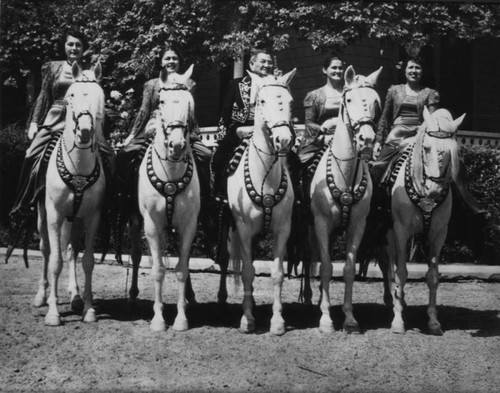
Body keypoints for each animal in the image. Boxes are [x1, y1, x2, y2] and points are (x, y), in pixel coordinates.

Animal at [36, 62, 107, 324]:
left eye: (100, 97)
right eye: (72, 95)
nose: (85, 131)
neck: (77, 166)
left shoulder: (93, 217)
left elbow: (87, 261)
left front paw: (88, 309)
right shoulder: (54, 215)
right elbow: (55, 261)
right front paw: (53, 313)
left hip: (74, 220)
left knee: (72, 251)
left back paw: (75, 297)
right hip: (42, 216)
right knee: (46, 249)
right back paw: (41, 296)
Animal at [228, 68, 296, 334]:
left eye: (289, 102)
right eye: (262, 101)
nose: (283, 140)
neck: (264, 176)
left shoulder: (282, 230)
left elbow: (277, 274)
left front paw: (277, 321)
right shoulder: (244, 230)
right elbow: (248, 272)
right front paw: (247, 319)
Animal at [308, 66, 382, 332]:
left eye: (376, 102)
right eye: (348, 100)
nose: (366, 139)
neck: (345, 173)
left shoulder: (357, 225)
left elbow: (348, 269)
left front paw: (349, 318)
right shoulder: (320, 223)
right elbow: (326, 267)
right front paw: (325, 319)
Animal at [382, 108, 464, 334]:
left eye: (452, 151)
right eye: (426, 147)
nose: (434, 190)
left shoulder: (438, 234)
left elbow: (433, 276)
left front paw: (433, 321)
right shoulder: (400, 230)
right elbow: (401, 272)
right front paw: (398, 321)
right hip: (390, 234)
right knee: (391, 264)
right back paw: (394, 299)